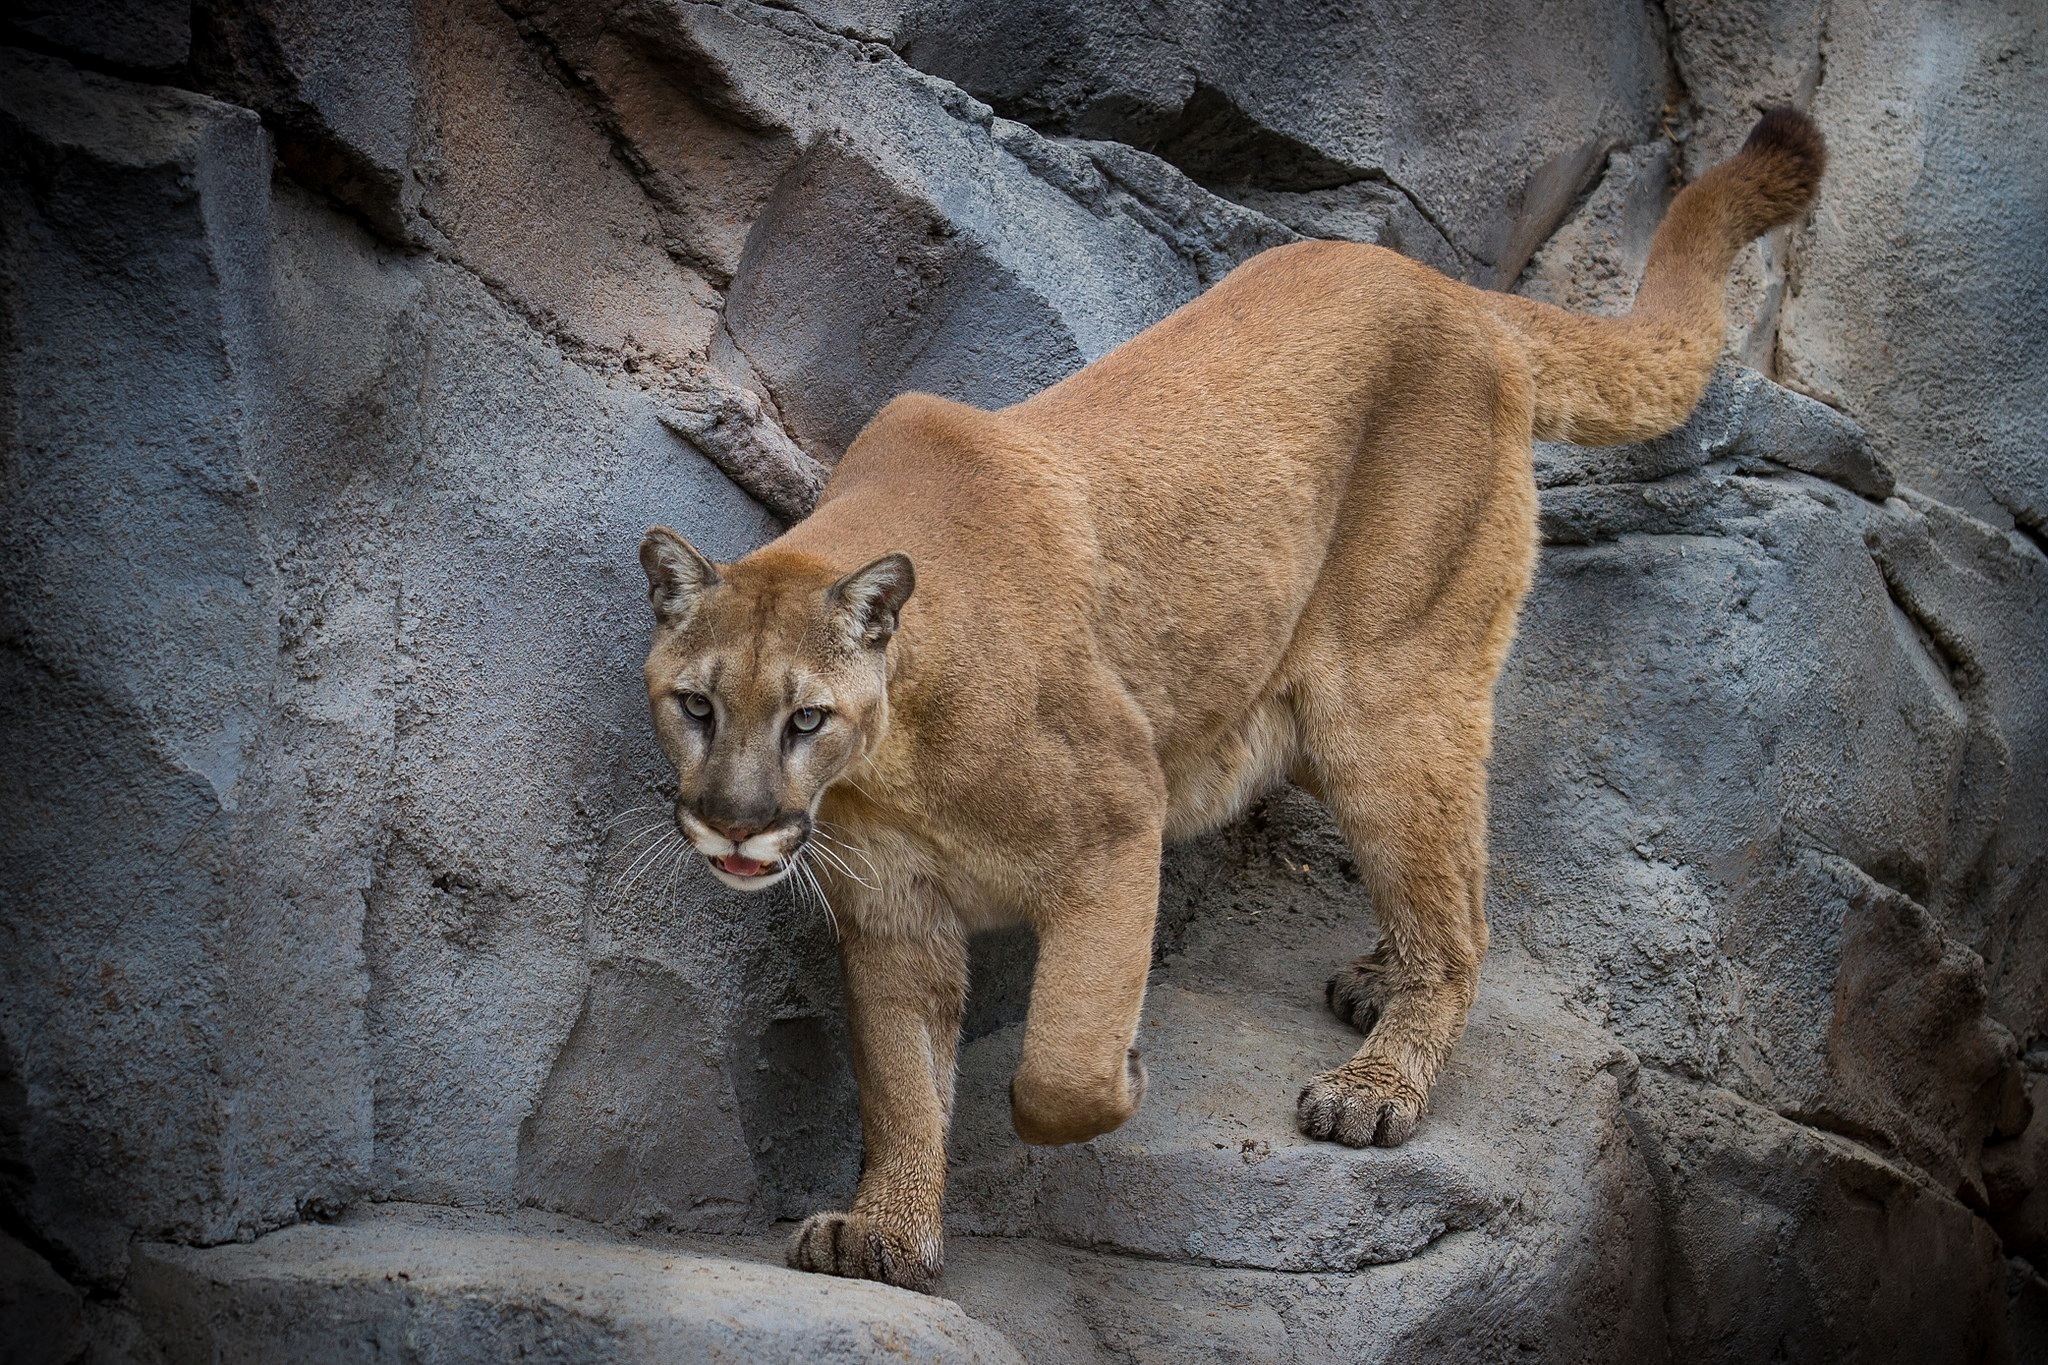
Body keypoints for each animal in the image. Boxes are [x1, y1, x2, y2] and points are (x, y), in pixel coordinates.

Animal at [634, 106, 1826, 1293]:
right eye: (695, 706)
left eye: (805, 719)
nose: (734, 827)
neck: (893, 757)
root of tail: (1447, 286)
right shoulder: (891, 912)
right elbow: (900, 1083)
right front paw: (884, 1232)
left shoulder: (1117, 821)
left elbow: (1059, 1062)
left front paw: (1121, 1077)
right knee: (1453, 870)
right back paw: (1378, 974)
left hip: (1387, 697)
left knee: (1461, 919)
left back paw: (1375, 1085)